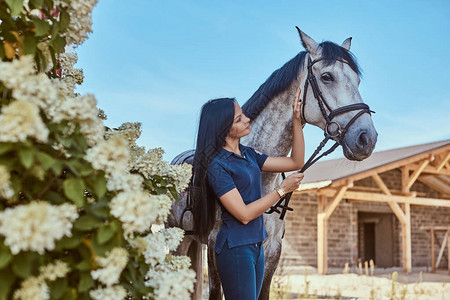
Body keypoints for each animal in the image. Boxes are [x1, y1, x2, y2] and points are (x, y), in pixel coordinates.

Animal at [167, 27, 378, 298]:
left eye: (357, 81)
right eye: (327, 76)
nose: (366, 138)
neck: (262, 180)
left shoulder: (272, 251)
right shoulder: (216, 248)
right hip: (179, 241)